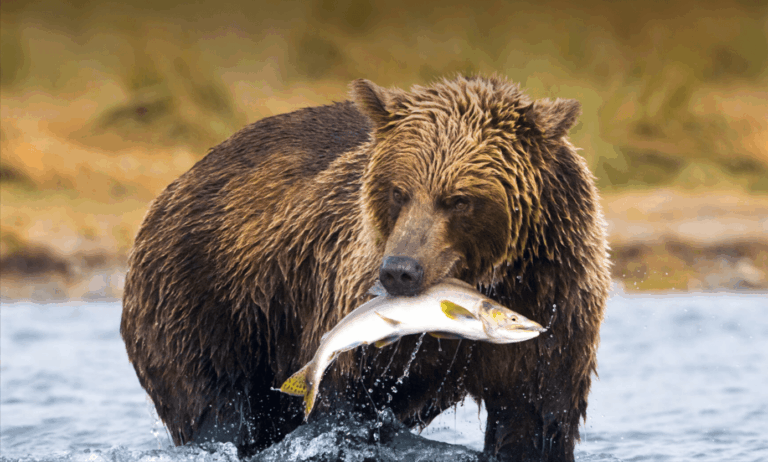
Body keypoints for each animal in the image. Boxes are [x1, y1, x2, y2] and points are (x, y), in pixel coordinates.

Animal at [121, 75, 610, 461]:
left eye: (459, 199)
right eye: (398, 191)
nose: (399, 270)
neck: (493, 275)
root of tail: (179, 181)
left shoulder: (556, 302)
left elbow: (536, 419)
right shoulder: (349, 298)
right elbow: (345, 409)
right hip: (207, 302)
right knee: (216, 409)